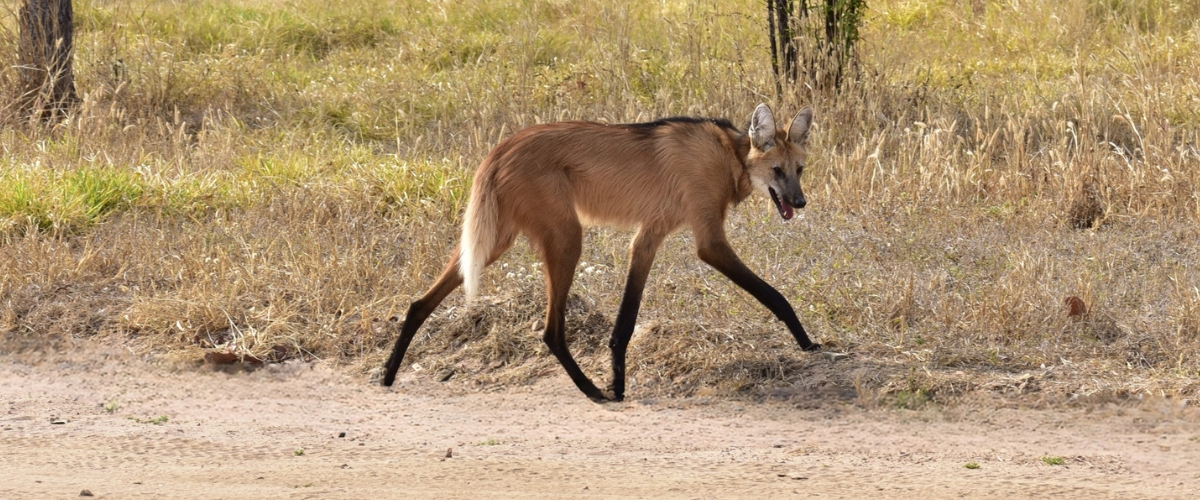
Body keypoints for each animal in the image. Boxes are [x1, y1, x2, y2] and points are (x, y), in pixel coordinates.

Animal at [386, 103, 825, 400]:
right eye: (777, 172)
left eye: (799, 171)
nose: (800, 203)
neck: (729, 157)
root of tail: (501, 147)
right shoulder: (709, 243)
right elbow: (775, 296)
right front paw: (807, 342)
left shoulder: (648, 237)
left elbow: (626, 321)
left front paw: (618, 379)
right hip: (566, 238)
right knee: (551, 330)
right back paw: (590, 390)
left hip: (496, 241)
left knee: (420, 302)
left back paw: (388, 372)